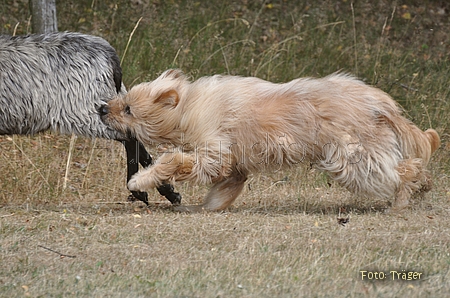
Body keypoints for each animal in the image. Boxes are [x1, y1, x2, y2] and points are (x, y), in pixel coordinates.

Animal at [0, 32, 179, 205]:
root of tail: (107, 52)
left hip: (86, 109)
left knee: (129, 138)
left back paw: (143, 191)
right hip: (112, 99)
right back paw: (167, 191)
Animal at [99, 68, 440, 212]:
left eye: (128, 109)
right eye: (123, 100)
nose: (102, 108)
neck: (188, 106)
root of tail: (380, 103)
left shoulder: (212, 152)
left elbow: (173, 160)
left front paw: (140, 180)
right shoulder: (233, 167)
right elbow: (225, 187)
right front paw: (208, 206)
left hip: (350, 159)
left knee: (401, 172)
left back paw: (403, 199)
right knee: (413, 166)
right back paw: (422, 186)